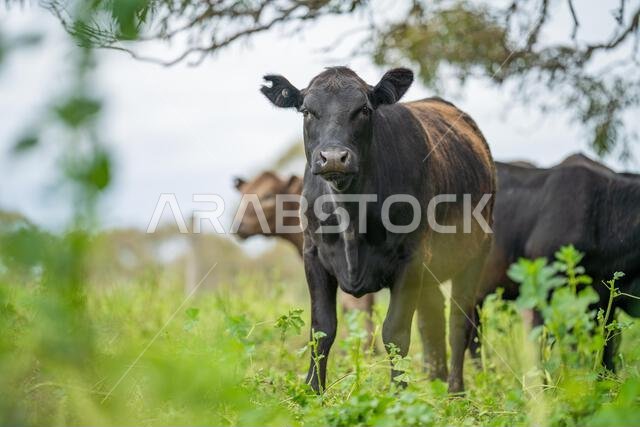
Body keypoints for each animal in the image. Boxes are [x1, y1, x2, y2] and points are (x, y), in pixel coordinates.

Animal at [260, 66, 495, 393]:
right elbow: (322, 330)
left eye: (364, 110)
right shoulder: (314, 255)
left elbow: (395, 333)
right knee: (433, 319)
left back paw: (454, 392)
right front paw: (312, 392)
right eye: (307, 111)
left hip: (476, 255)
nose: (333, 157)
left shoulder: (411, 260)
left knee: (459, 324)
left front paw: (400, 396)